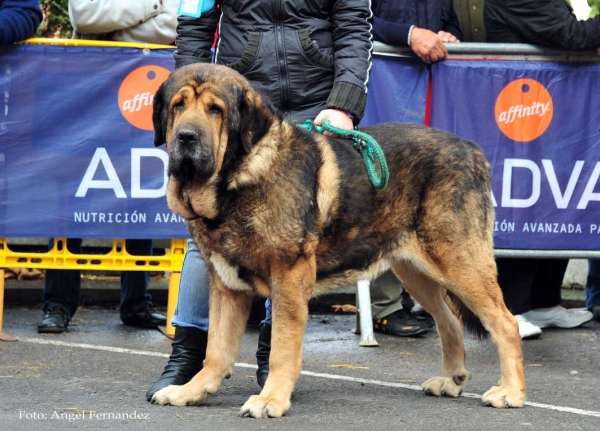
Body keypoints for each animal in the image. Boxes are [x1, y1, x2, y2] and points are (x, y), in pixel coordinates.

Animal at [150, 63, 524, 418]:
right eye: (178, 105)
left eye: (216, 110)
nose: (186, 136)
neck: (241, 176)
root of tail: (473, 149)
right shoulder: (227, 285)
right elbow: (217, 349)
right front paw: (191, 390)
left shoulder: (290, 278)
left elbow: (280, 349)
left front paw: (271, 399)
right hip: (418, 273)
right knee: (450, 322)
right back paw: (451, 380)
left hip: (460, 265)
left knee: (505, 323)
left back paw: (511, 392)